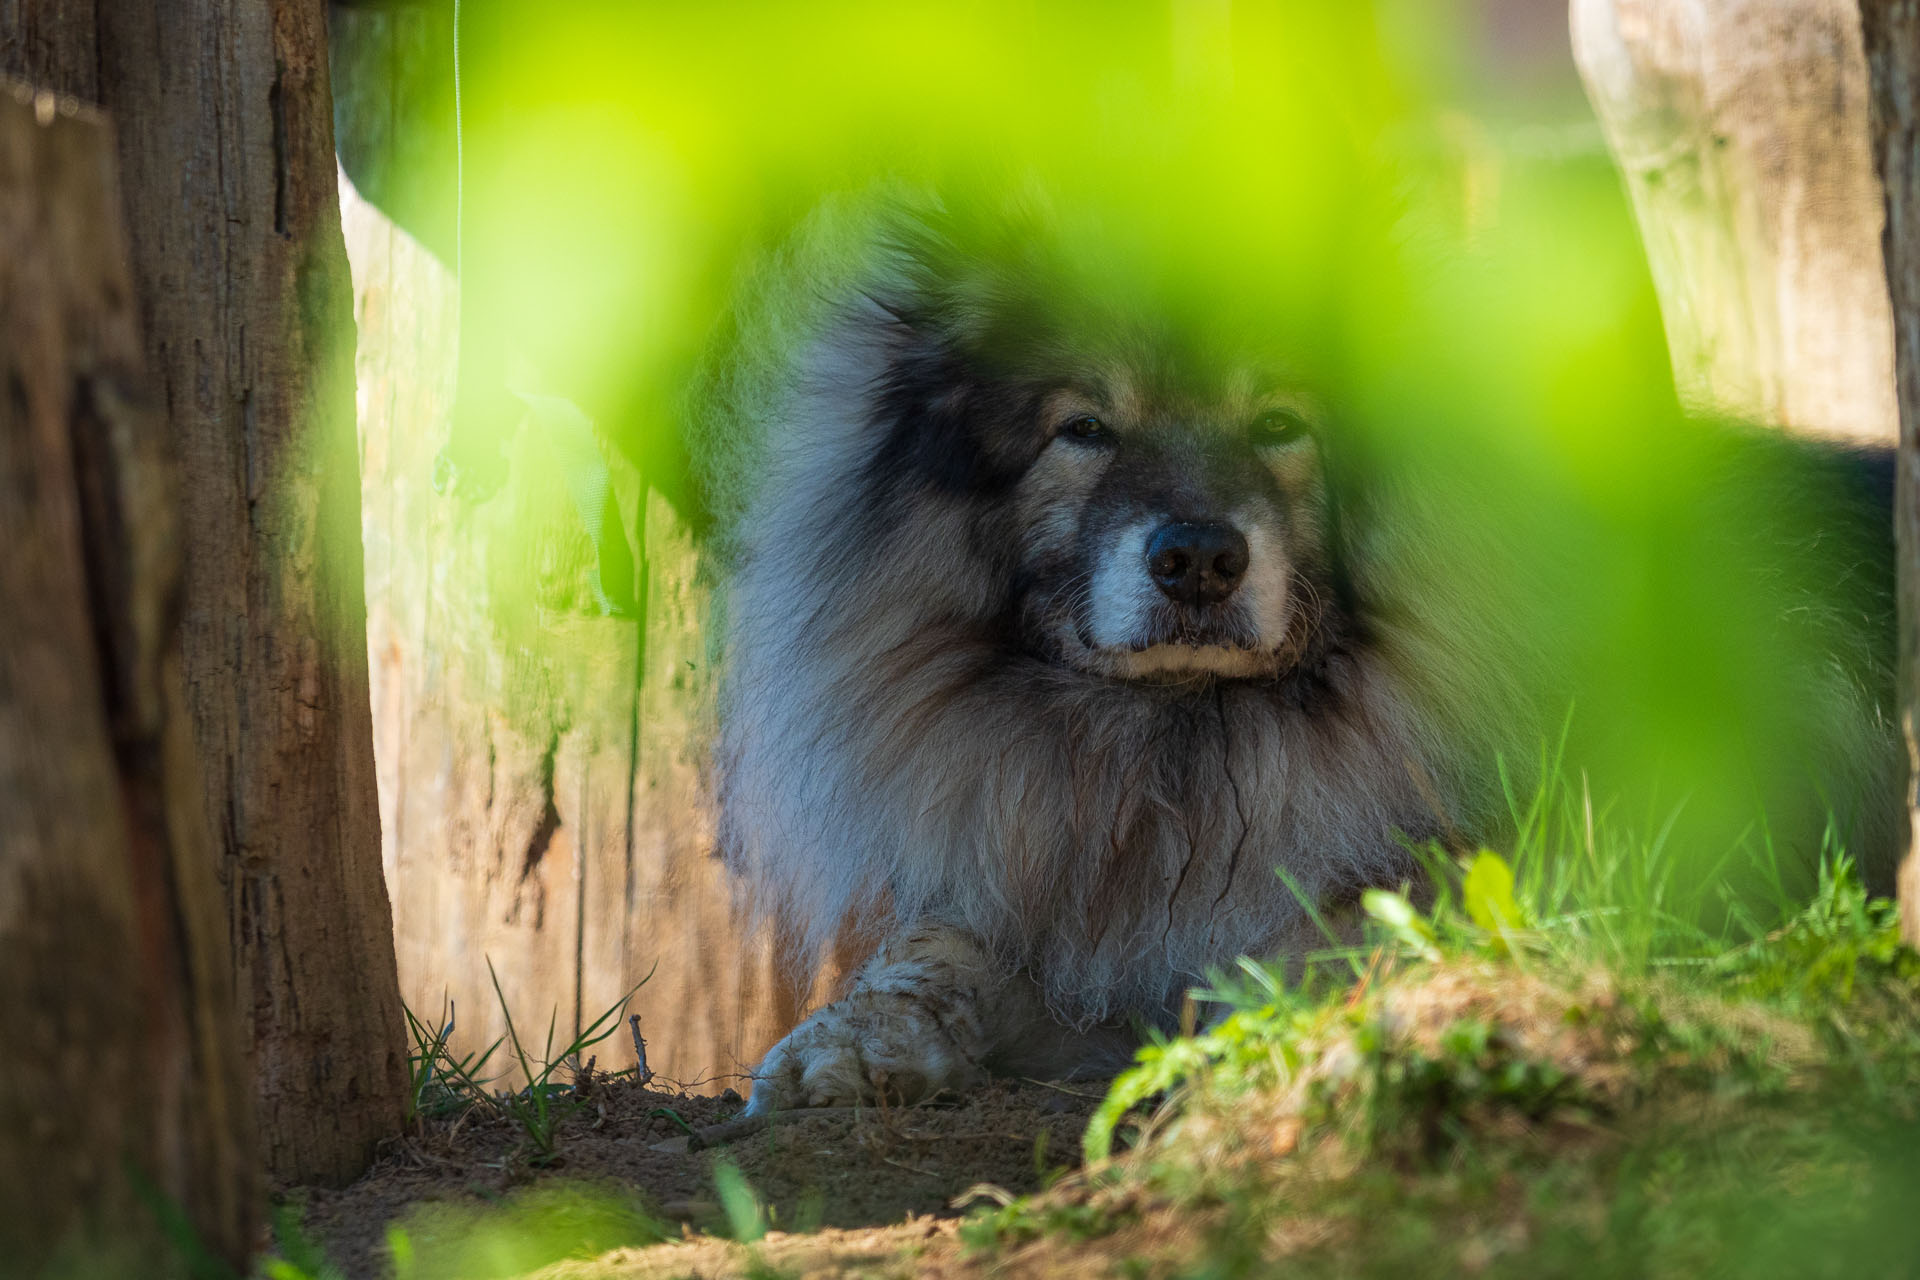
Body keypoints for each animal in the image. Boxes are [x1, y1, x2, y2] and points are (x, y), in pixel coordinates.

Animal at [698, 195, 1896, 1113]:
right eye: (1083, 429)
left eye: (1279, 423)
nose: (1198, 558)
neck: (1178, 755)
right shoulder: (1040, 896)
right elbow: (924, 957)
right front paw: (844, 1043)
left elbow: (1331, 942)